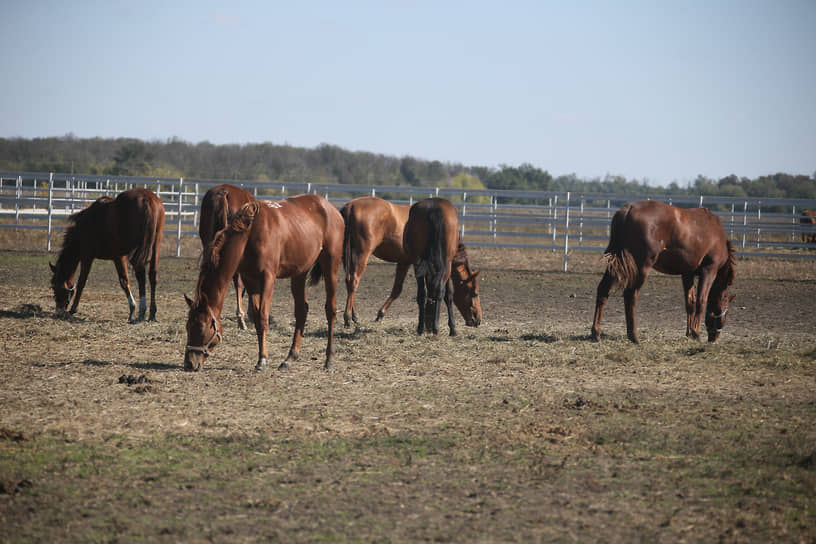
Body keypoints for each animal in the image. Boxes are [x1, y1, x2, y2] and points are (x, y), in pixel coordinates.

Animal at [49, 188, 166, 320]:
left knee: (141, 274)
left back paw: (142, 311)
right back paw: (152, 313)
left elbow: (82, 282)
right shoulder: (119, 256)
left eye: (55, 287)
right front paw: (132, 308)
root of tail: (147, 198)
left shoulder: (89, 257)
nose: (58, 310)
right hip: (156, 244)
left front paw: (74, 309)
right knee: (152, 275)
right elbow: (125, 281)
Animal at [404, 198, 482, 336]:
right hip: (445, 265)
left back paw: (420, 328)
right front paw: (452, 328)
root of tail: (434, 210)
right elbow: (449, 295)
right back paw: (437, 328)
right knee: (440, 290)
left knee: (422, 293)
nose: (477, 319)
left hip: (417, 262)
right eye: (475, 293)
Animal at [588, 200, 736, 344]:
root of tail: (627, 210)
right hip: (641, 267)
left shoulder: (687, 273)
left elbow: (690, 303)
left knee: (603, 290)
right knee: (630, 295)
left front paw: (689, 333)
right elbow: (701, 301)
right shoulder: (709, 270)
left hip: (616, 264)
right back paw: (633, 336)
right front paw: (696, 333)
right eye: (726, 311)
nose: (714, 339)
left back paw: (596, 333)